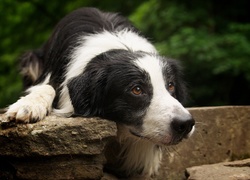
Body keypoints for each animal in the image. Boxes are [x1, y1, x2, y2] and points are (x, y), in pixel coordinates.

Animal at [4, 7, 195, 178]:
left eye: (170, 86)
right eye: (137, 89)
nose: (186, 124)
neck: (121, 48)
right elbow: (46, 87)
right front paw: (28, 106)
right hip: (31, 59)